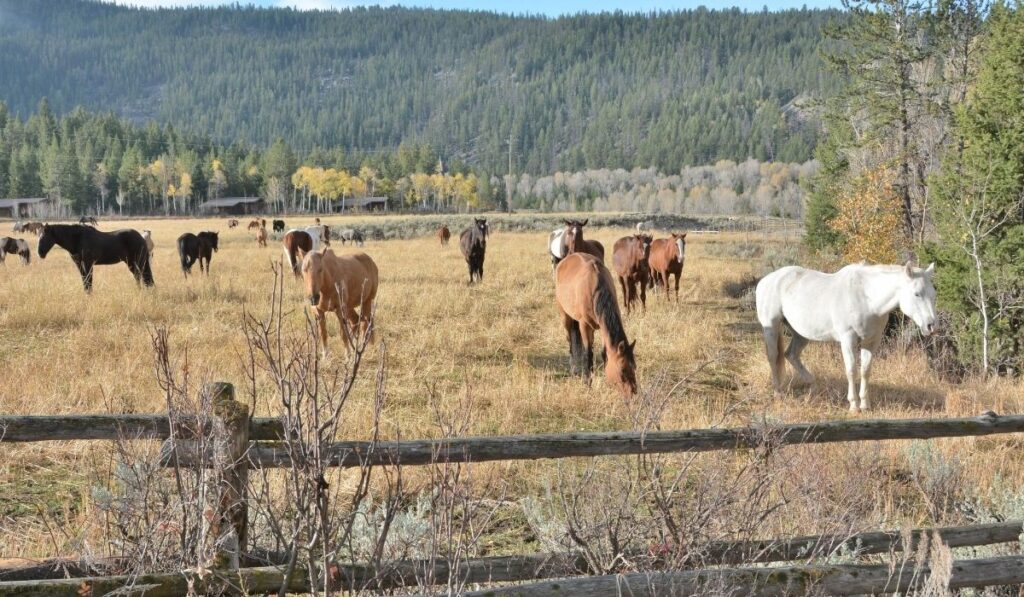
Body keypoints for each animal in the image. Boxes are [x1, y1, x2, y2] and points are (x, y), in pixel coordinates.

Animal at [555, 252, 637, 398]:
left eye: (634, 367)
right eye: (622, 370)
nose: (633, 393)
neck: (595, 287)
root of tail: (564, 260)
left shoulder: (603, 329)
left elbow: (604, 353)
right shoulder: (584, 326)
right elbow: (588, 354)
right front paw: (588, 383)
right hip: (565, 316)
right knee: (570, 340)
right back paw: (574, 369)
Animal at [755, 262, 937, 413]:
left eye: (933, 294)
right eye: (917, 294)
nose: (931, 326)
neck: (866, 298)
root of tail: (765, 281)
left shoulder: (871, 341)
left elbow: (865, 370)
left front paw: (865, 404)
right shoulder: (848, 339)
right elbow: (851, 370)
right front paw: (854, 405)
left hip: (801, 334)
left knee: (791, 355)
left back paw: (813, 385)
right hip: (771, 327)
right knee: (773, 357)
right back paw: (778, 393)